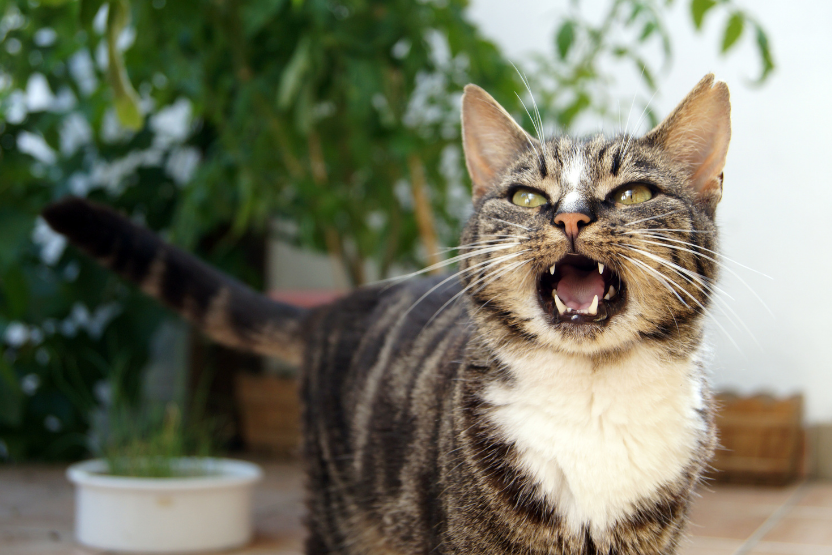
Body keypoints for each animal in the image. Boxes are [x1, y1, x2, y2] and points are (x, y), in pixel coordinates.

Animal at [45, 75, 728, 555]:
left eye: (634, 193)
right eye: (527, 197)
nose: (570, 216)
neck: (593, 397)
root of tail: (335, 307)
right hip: (341, 518)